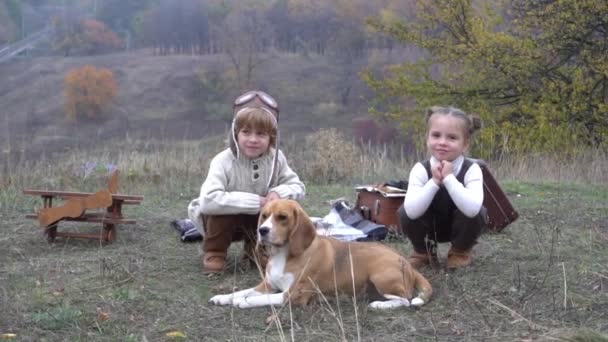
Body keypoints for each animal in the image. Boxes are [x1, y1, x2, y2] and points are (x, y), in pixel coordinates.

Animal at [210, 199, 432, 308]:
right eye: (264, 216)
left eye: (282, 217)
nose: (262, 231)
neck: (285, 255)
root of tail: (406, 262)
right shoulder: (267, 285)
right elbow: (242, 291)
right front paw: (223, 297)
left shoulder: (295, 295)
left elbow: (256, 299)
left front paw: (242, 302)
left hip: (380, 276)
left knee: (405, 300)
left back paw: (378, 305)